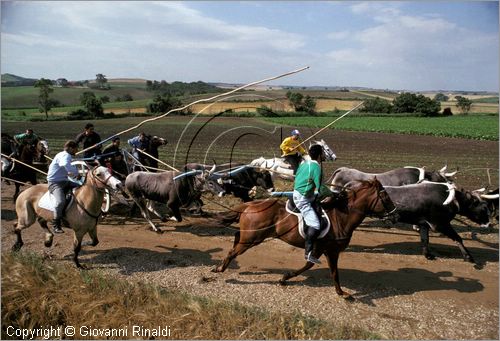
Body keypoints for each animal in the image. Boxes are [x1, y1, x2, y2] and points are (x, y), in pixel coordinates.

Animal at [213, 178, 396, 298]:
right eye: (385, 196)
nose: (395, 214)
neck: (341, 217)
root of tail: (249, 205)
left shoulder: (323, 250)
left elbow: (319, 267)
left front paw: (285, 278)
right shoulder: (329, 250)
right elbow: (330, 271)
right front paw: (342, 293)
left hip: (250, 236)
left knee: (236, 238)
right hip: (252, 238)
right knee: (233, 252)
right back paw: (220, 268)